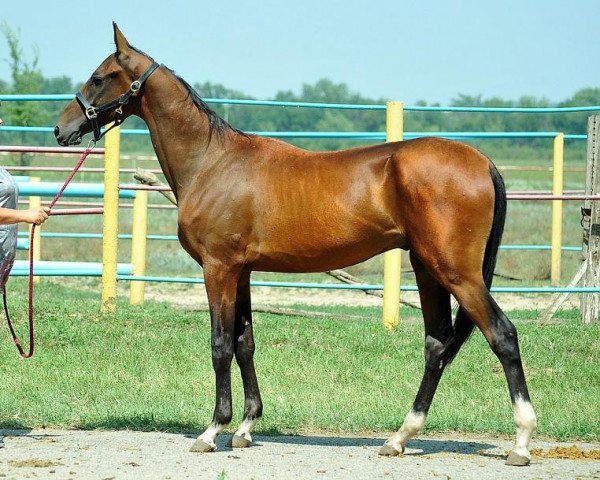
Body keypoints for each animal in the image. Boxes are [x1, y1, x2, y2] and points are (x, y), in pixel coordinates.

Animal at [54, 24, 536, 466]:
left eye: (99, 78)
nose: (62, 129)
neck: (211, 161)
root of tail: (482, 161)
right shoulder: (242, 272)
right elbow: (245, 342)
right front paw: (246, 428)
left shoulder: (218, 268)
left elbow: (220, 345)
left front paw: (212, 431)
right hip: (426, 268)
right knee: (436, 344)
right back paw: (399, 437)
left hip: (457, 273)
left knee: (502, 335)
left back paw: (520, 442)